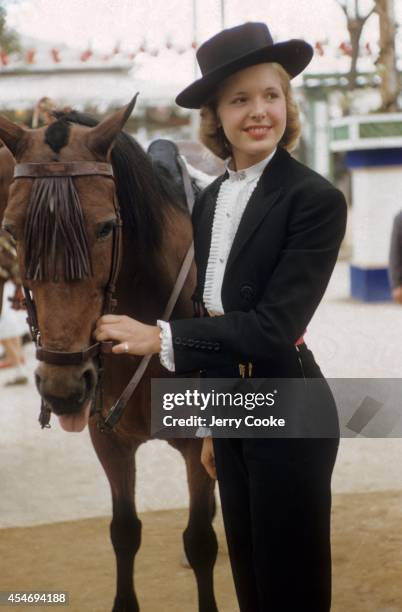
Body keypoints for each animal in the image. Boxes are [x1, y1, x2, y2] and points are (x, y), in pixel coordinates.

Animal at [0, 99, 220, 612]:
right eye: (11, 230)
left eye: (105, 228)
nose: (62, 387)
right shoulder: (111, 443)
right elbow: (124, 532)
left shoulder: (197, 442)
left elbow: (200, 540)